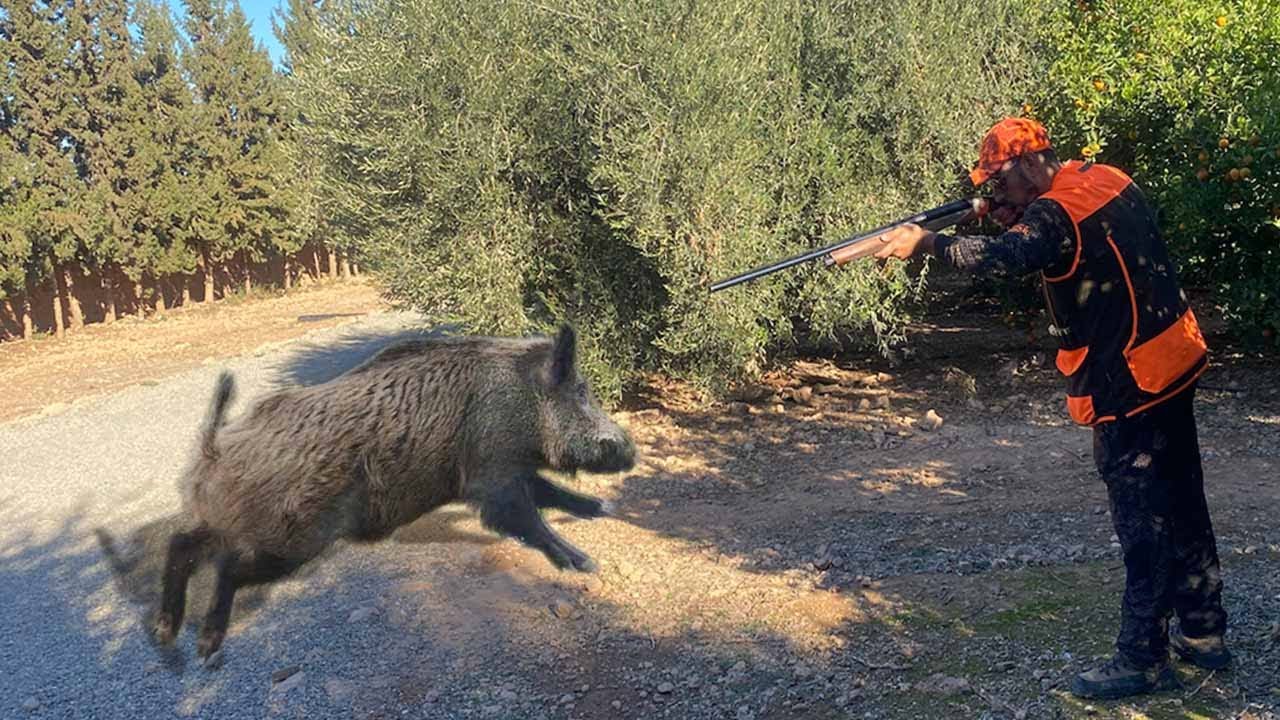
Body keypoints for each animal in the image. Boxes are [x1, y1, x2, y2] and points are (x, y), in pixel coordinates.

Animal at [154, 324, 635, 660]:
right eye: (580, 394)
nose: (629, 451)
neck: (520, 402)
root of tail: (216, 449)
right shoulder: (491, 475)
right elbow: (530, 519)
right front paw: (585, 563)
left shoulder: (506, 471)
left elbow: (551, 492)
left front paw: (602, 505)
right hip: (291, 540)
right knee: (226, 567)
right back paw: (205, 648)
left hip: (227, 520)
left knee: (182, 544)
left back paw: (166, 634)